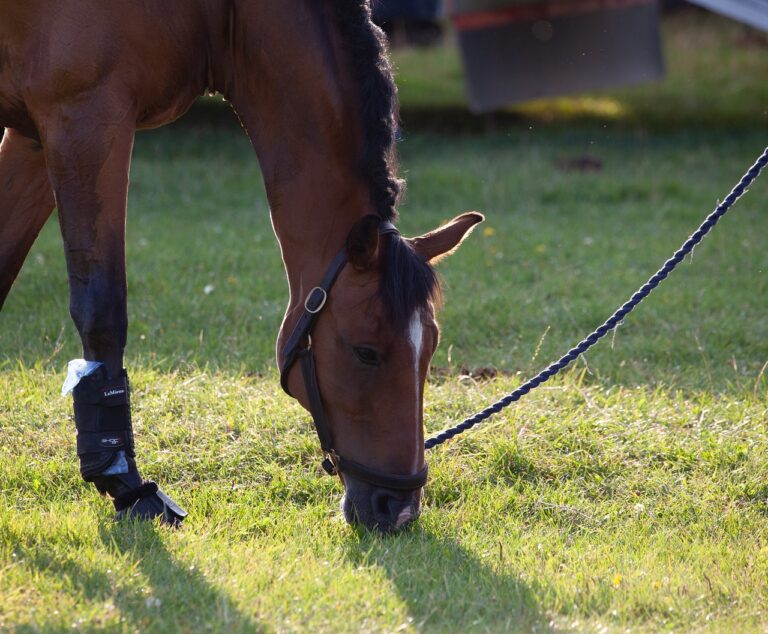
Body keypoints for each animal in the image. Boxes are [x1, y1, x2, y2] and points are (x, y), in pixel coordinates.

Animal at [0, 1, 480, 532]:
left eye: (430, 347)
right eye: (366, 352)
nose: (398, 510)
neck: (211, 14)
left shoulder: (34, 134)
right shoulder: (82, 122)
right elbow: (101, 307)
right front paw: (125, 484)